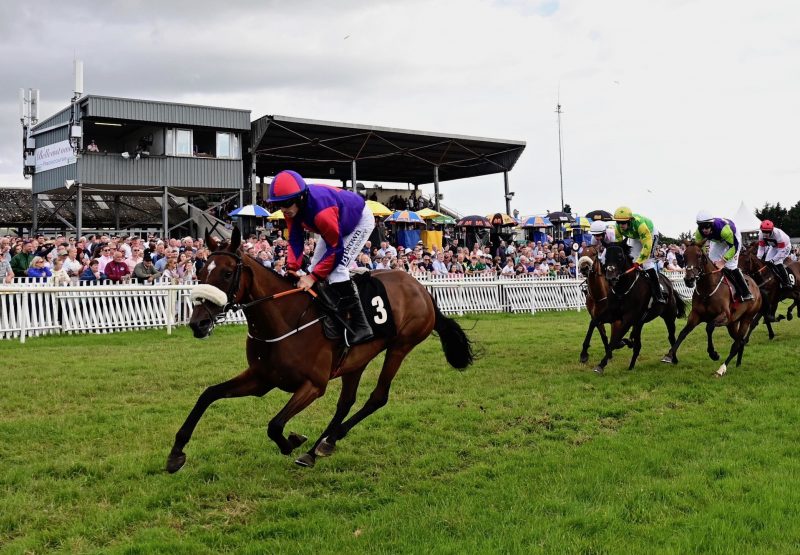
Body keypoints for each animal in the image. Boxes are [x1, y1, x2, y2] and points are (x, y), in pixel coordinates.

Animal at [165, 227, 472, 474]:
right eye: (200, 271)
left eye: (227, 273)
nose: (198, 323)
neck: (284, 319)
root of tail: (421, 288)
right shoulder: (262, 378)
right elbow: (208, 394)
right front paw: (176, 453)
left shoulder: (313, 385)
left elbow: (275, 425)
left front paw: (292, 441)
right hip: (356, 360)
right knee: (346, 402)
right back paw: (323, 444)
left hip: (401, 346)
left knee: (377, 397)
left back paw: (320, 445)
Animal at [588, 242, 688, 376]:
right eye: (606, 256)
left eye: (620, 256)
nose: (610, 276)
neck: (623, 290)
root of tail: (669, 284)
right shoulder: (612, 314)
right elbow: (594, 322)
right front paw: (584, 354)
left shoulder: (627, 320)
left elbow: (615, 339)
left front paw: (601, 365)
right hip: (640, 323)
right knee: (638, 345)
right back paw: (631, 366)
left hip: (669, 316)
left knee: (671, 337)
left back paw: (673, 358)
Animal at [664, 241, 764, 376]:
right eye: (684, 256)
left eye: (699, 255)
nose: (689, 279)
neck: (707, 289)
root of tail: (756, 286)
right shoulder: (695, 315)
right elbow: (683, 333)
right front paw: (669, 355)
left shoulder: (724, 316)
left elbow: (709, 327)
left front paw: (713, 353)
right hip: (732, 323)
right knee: (740, 341)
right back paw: (738, 363)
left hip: (746, 319)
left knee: (737, 343)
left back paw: (722, 369)